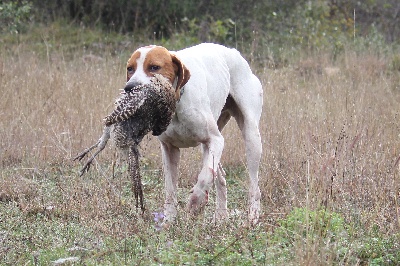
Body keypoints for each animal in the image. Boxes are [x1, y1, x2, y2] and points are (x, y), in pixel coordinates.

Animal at [125, 42, 262, 223]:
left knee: (253, 184)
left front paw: (195, 203)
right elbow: (170, 189)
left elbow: (205, 175)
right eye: (130, 69)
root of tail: (234, 52)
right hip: (208, 145)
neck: (176, 104)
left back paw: (253, 215)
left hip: (251, 137)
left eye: (154, 67)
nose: (129, 87)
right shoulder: (169, 149)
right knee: (221, 176)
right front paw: (168, 221)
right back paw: (221, 216)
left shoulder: (215, 140)